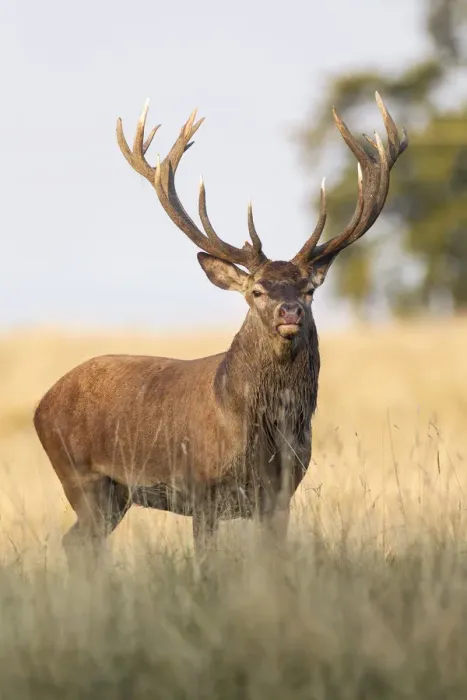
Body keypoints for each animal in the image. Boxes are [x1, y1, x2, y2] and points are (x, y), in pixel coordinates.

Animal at [33, 93, 407, 566]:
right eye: (257, 291)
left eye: (308, 290)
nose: (289, 311)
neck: (260, 434)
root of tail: (42, 404)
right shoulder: (201, 489)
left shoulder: (280, 496)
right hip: (79, 475)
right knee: (80, 539)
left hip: (115, 494)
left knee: (79, 541)